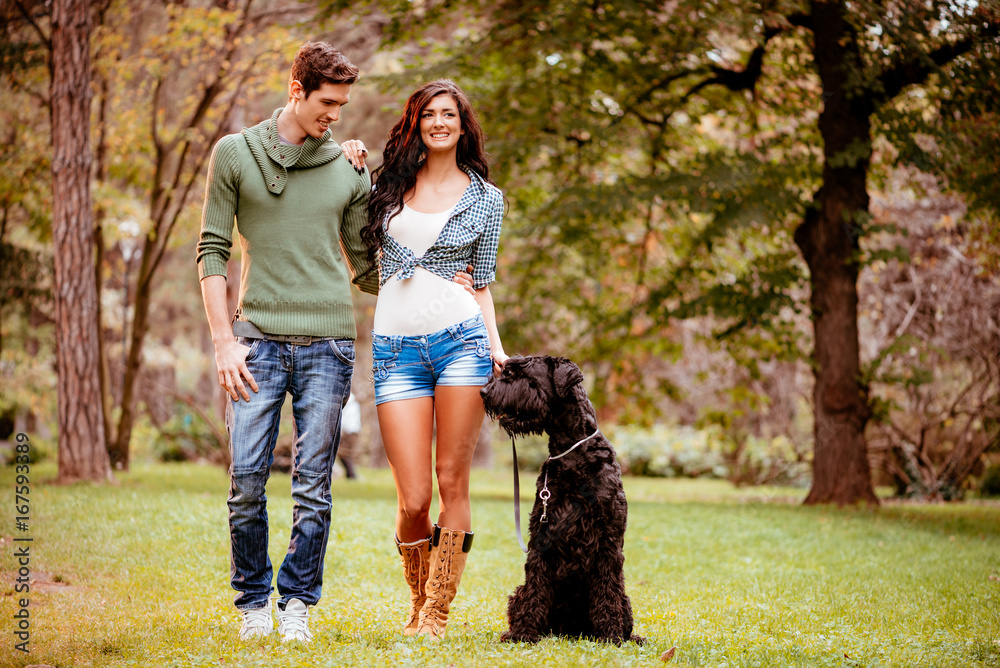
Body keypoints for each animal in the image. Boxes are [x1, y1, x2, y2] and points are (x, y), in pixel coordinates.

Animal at [482, 358, 640, 644]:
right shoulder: (542, 536)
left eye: (523, 375)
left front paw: (610, 635)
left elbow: (608, 590)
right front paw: (524, 633)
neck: (573, 453)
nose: (484, 392)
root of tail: (570, 630)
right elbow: (535, 587)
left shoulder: (609, 541)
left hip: (626, 600)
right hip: (519, 593)